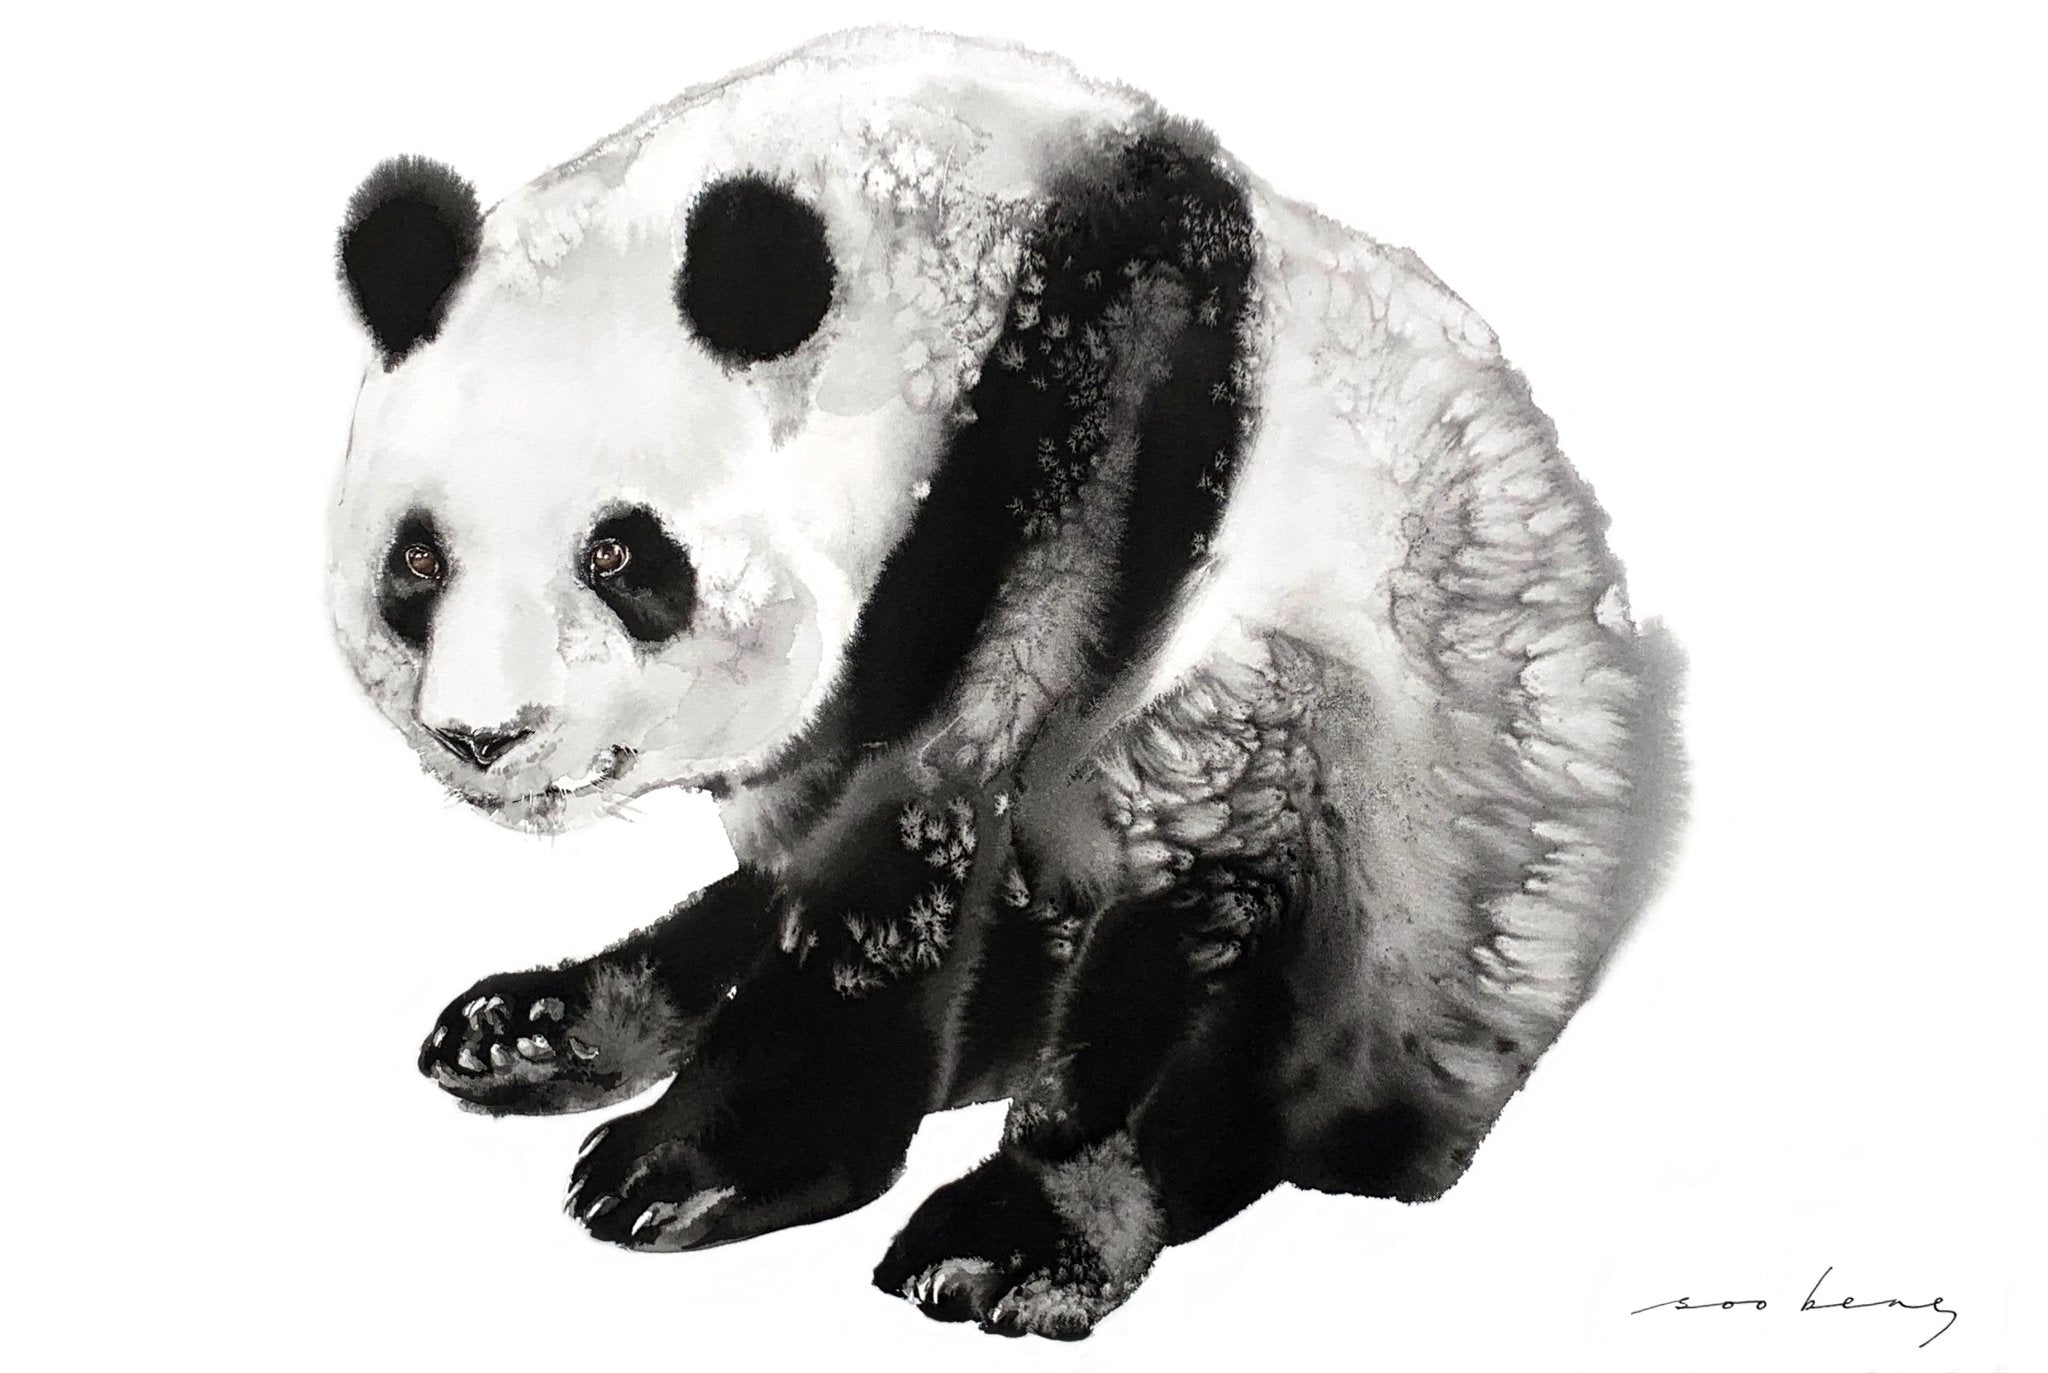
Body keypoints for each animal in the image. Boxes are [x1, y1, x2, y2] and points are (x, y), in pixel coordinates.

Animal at [328, 26, 1680, 1340]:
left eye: (618, 553)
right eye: (416, 560)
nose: (484, 734)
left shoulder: (1076, 475)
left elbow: (919, 847)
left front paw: (692, 1166)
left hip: (1436, 816)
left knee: (1234, 930)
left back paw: (1011, 1229)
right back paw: (532, 1024)